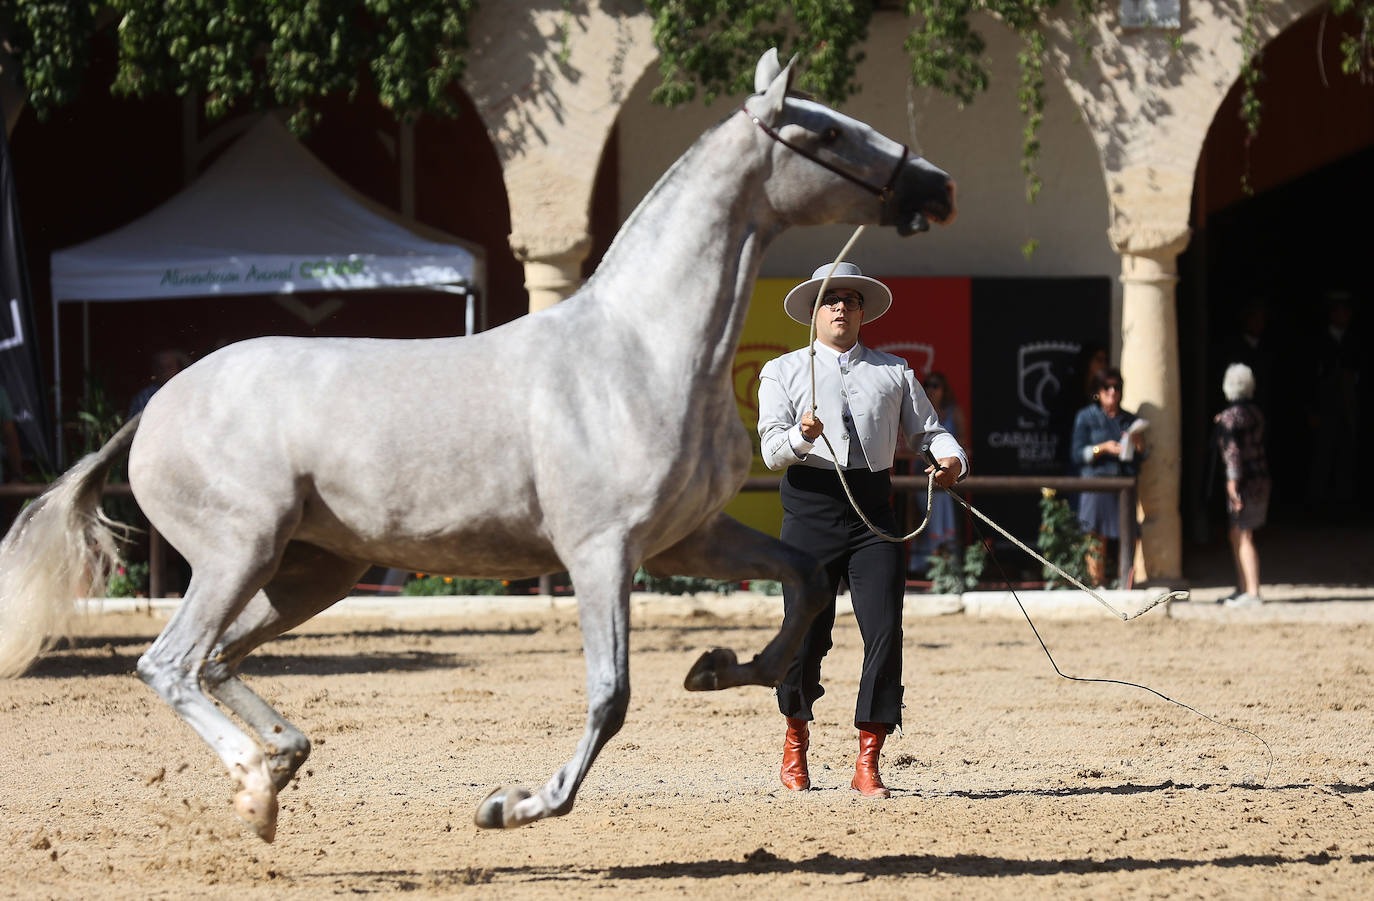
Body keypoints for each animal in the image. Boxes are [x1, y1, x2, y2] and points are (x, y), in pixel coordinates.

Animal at [0, 49, 955, 840]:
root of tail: (157, 404)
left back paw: (278, 763)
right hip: (241, 550)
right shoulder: (600, 551)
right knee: (170, 662)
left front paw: (717, 667)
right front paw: (515, 804)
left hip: (314, 568)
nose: (935, 185)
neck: (641, 349)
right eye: (823, 130)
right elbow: (611, 695)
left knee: (217, 659)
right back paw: (255, 786)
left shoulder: (687, 539)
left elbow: (805, 585)